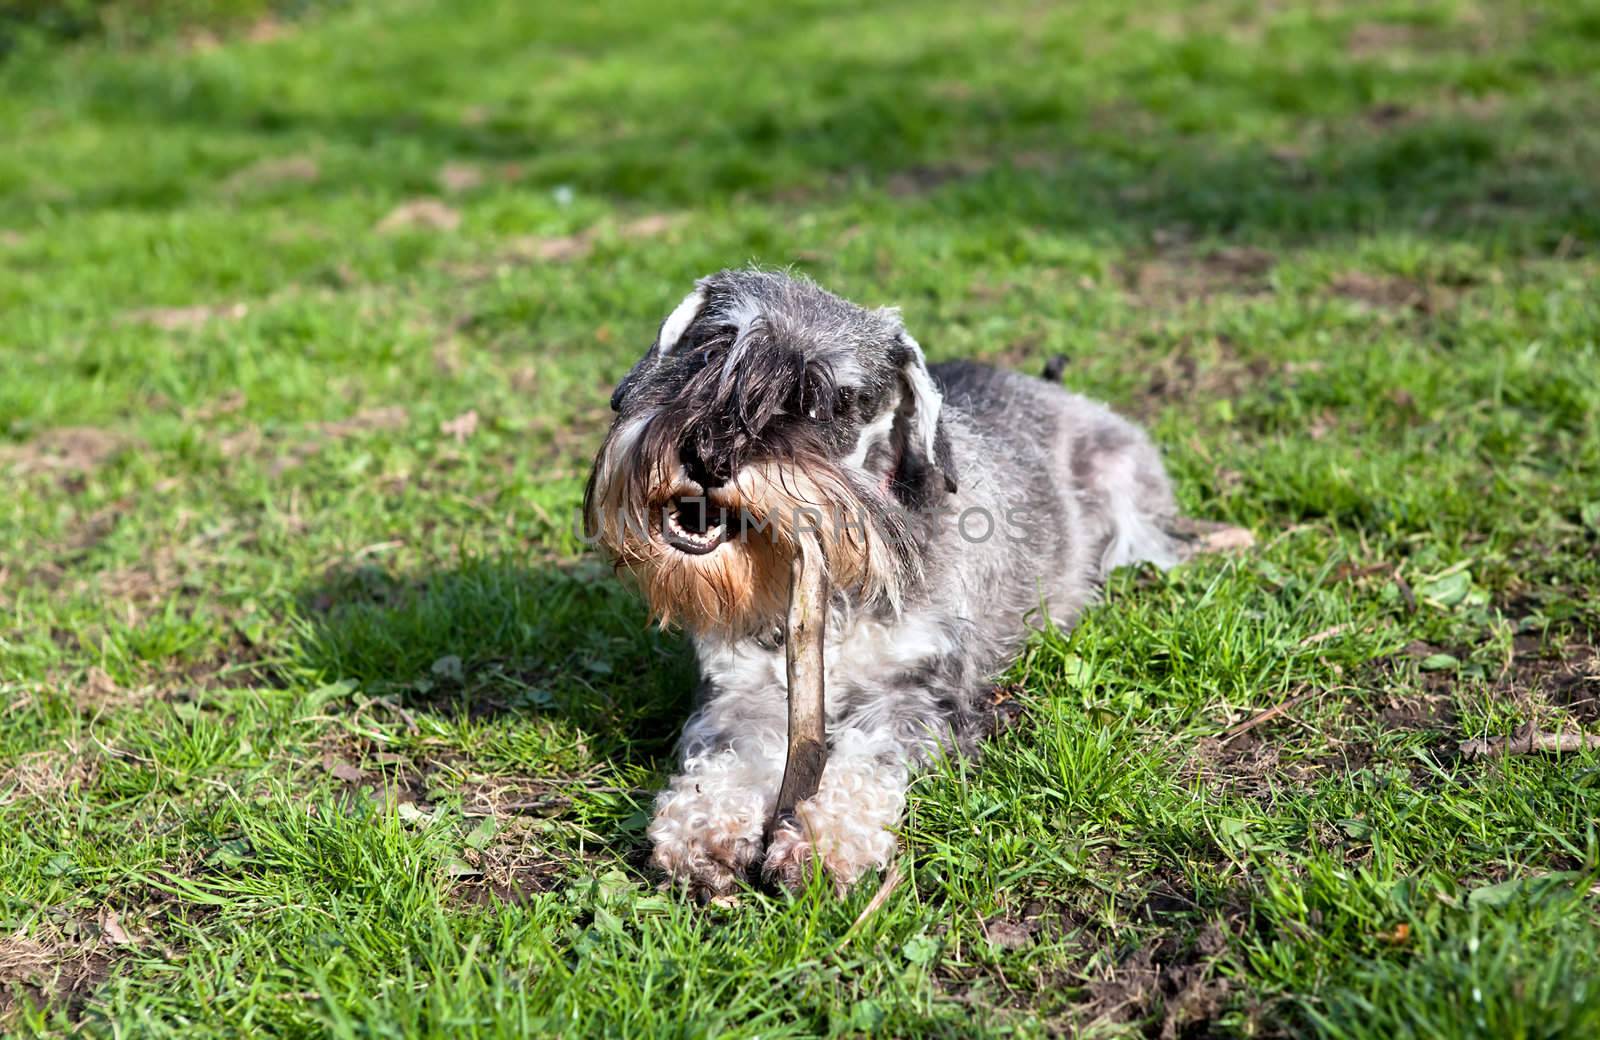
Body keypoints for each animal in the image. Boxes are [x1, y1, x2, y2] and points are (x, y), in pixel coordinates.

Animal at [585, 272, 1203, 896]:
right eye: (710, 351)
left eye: (829, 403)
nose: (708, 455)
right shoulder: (742, 689)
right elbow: (727, 756)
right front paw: (703, 830)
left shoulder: (915, 693)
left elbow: (867, 761)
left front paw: (824, 842)